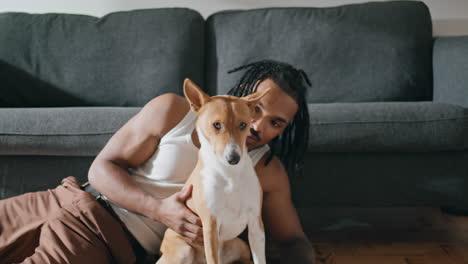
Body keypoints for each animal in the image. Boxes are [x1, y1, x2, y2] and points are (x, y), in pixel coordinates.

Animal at [155, 79, 268, 264]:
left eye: (243, 125)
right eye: (217, 124)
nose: (233, 158)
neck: (230, 174)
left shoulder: (255, 225)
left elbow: (261, 260)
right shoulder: (210, 226)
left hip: (241, 246)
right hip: (183, 251)